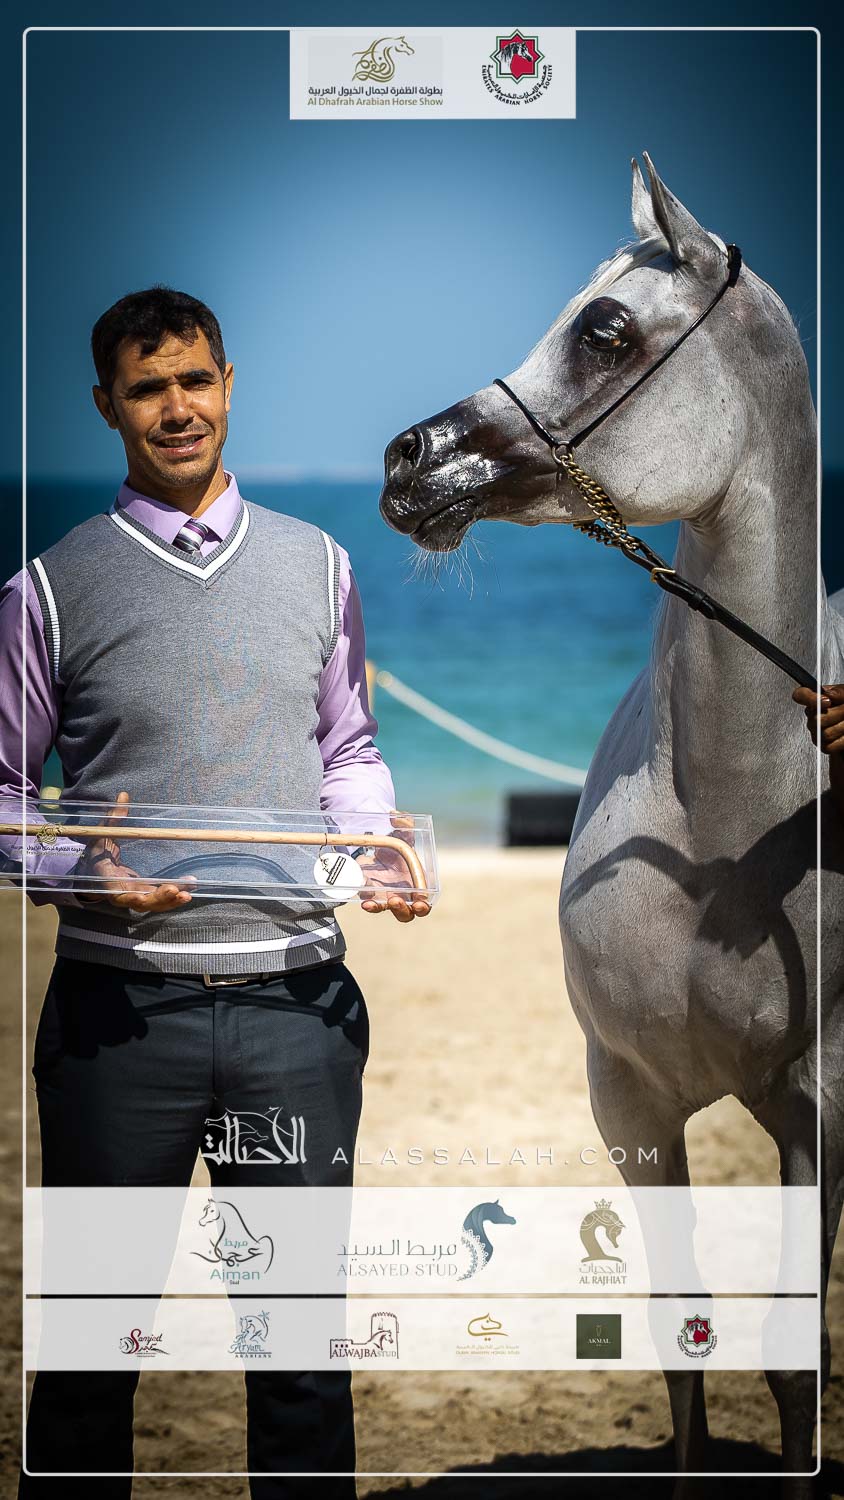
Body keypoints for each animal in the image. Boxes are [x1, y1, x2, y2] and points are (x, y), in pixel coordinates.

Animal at [379, 153, 844, 1494]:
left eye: (605, 330)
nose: (406, 460)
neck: (732, 836)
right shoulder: (631, 1109)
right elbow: (682, 1343)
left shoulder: (822, 1114)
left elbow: (793, 1364)